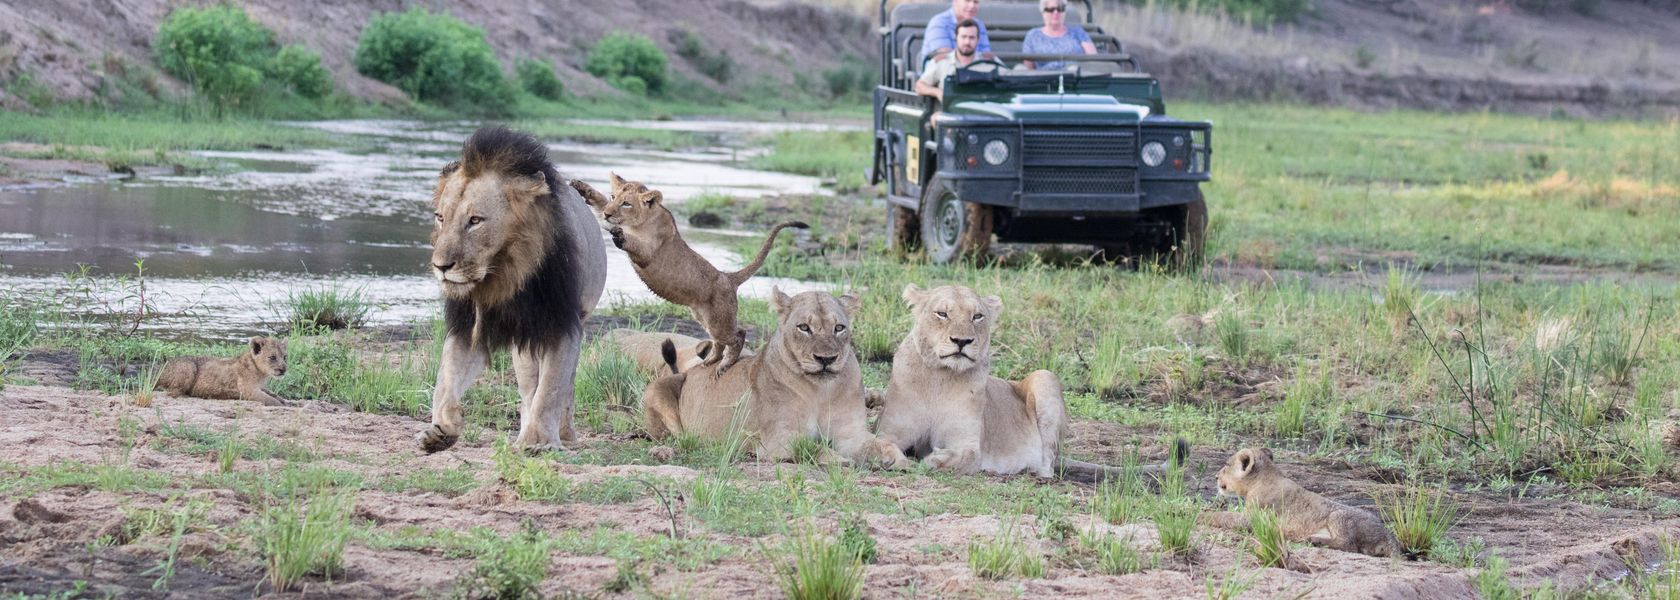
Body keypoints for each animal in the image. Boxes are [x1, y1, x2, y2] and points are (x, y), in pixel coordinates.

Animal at [416, 127, 608, 453]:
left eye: (475, 220)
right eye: (441, 218)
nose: (441, 266)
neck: (502, 274)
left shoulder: (562, 325)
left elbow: (551, 389)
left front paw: (539, 441)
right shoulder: (468, 326)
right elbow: (448, 378)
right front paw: (441, 430)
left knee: (562, 386)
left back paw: (563, 435)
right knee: (529, 386)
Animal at [571, 170, 806, 371]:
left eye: (626, 203)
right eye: (613, 196)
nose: (608, 214)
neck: (643, 220)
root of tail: (728, 278)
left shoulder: (650, 251)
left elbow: (633, 242)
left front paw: (619, 233)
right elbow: (601, 206)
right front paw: (584, 189)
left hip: (720, 320)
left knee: (738, 334)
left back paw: (726, 363)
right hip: (705, 318)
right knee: (718, 341)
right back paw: (710, 360)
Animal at [641, 287, 907, 463]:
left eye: (839, 328)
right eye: (804, 327)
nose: (826, 360)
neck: (820, 391)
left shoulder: (850, 433)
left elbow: (879, 443)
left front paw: (896, 458)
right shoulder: (776, 439)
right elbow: (809, 447)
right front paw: (838, 459)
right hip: (657, 391)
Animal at [873, 284, 1189, 477]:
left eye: (977, 316)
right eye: (942, 313)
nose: (962, 341)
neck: (940, 377)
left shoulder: (969, 445)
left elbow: (961, 457)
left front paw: (931, 460)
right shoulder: (892, 431)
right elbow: (882, 444)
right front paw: (899, 460)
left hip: (1044, 378)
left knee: (1047, 465)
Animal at [1216, 443, 1397, 554]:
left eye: (1226, 465)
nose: (1216, 476)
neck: (1261, 479)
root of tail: (1388, 536)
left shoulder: (1255, 517)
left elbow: (1225, 516)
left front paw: (1208, 516)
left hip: (1338, 515)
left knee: (1349, 545)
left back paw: (1313, 540)